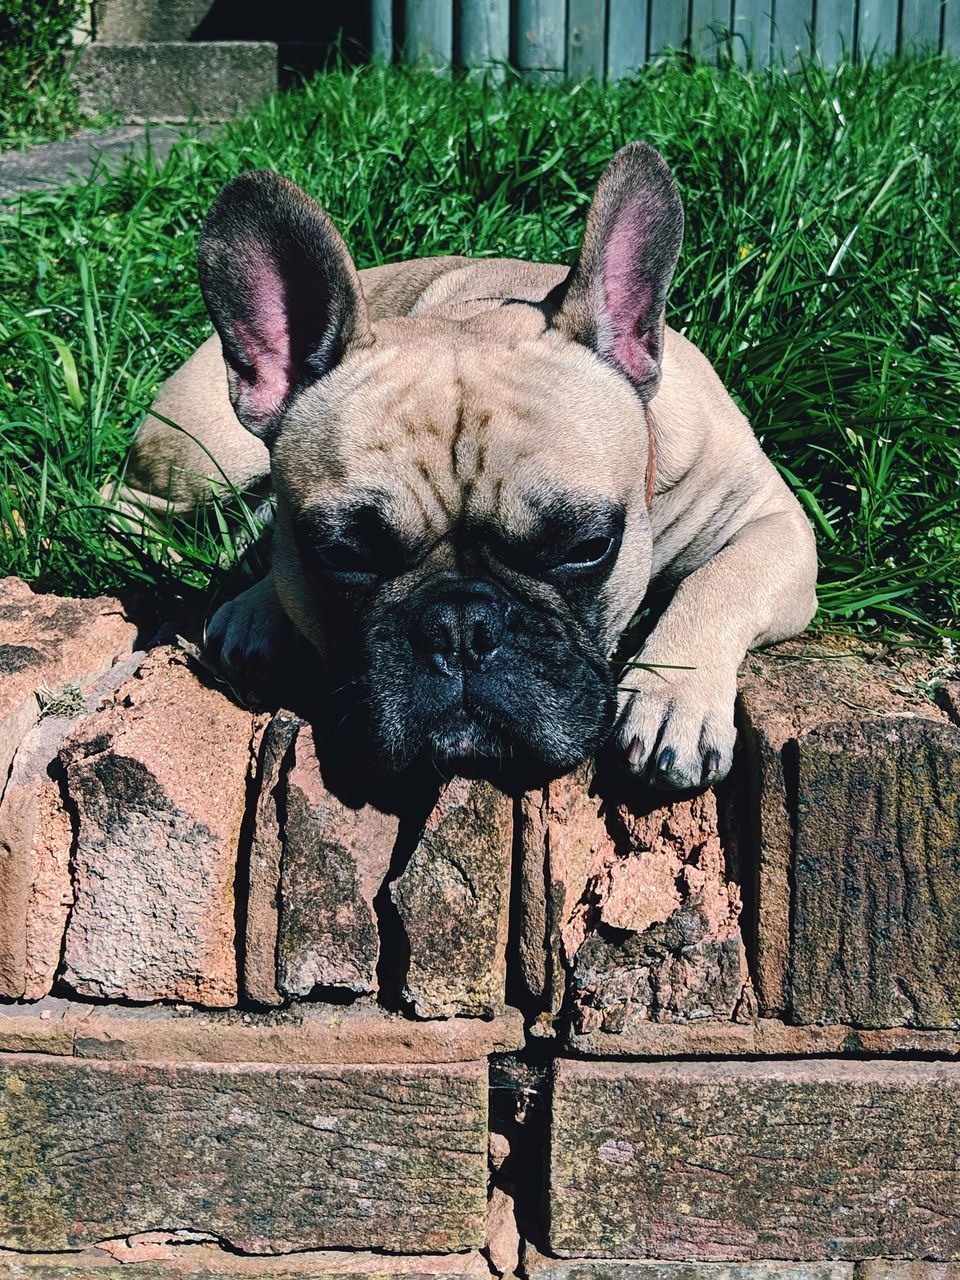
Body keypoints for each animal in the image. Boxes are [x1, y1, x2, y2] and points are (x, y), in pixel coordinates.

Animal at [116, 147, 814, 788]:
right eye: (341, 555)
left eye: (587, 547)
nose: (459, 627)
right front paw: (260, 601)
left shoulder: (773, 521)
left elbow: (722, 580)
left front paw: (672, 696)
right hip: (205, 458)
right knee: (130, 499)